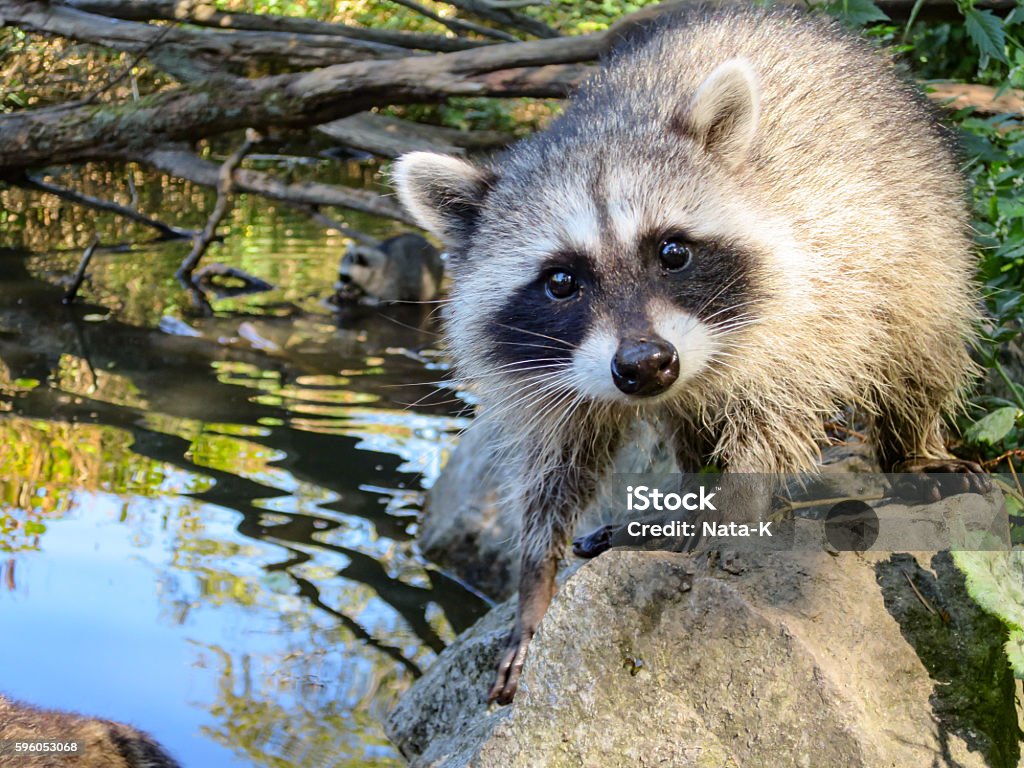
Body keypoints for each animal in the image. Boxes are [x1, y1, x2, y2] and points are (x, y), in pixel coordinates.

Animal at [389, 4, 983, 708]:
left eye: (672, 251)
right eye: (561, 281)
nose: (647, 364)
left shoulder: (812, 289)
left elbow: (776, 410)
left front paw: (731, 513)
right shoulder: (550, 369)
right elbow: (556, 460)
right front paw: (536, 578)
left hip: (923, 225)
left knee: (922, 343)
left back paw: (911, 445)